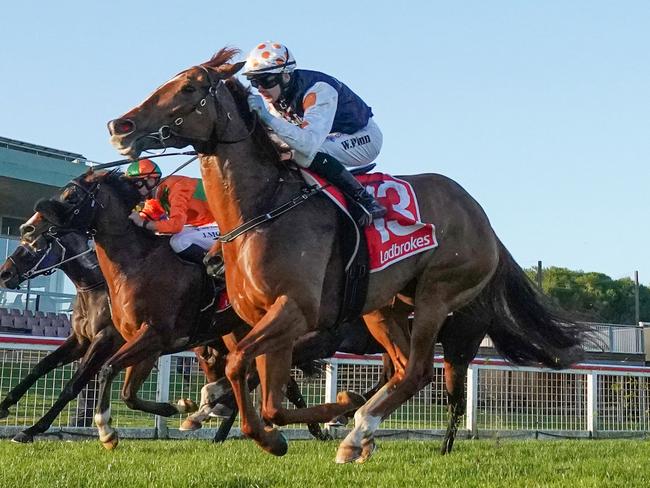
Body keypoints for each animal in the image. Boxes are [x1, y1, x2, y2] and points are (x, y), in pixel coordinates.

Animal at [107, 47, 588, 464]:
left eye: (189, 88)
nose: (120, 126)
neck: (262, 208)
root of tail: (482, 218)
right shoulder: (269, 317)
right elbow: (270, 401)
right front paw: (303, 421)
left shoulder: (295, 310)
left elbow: (240, 364)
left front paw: (295, 426)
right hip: (384, 306)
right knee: (402, 369)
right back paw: (361, 432)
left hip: (438, 294)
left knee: (418, 371)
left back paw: (359, 430)